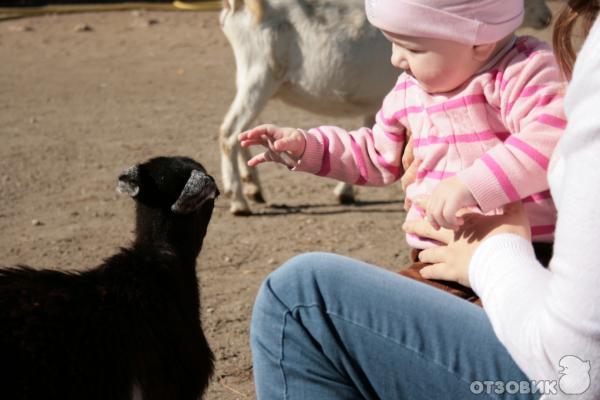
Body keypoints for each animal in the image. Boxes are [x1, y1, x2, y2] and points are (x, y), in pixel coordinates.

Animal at [218, 0, 552, 216]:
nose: (548, 17)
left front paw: (345, 192)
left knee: (242, 132)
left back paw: (253, 188)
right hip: (260, 75)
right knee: (229, 132)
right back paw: (238, 201)